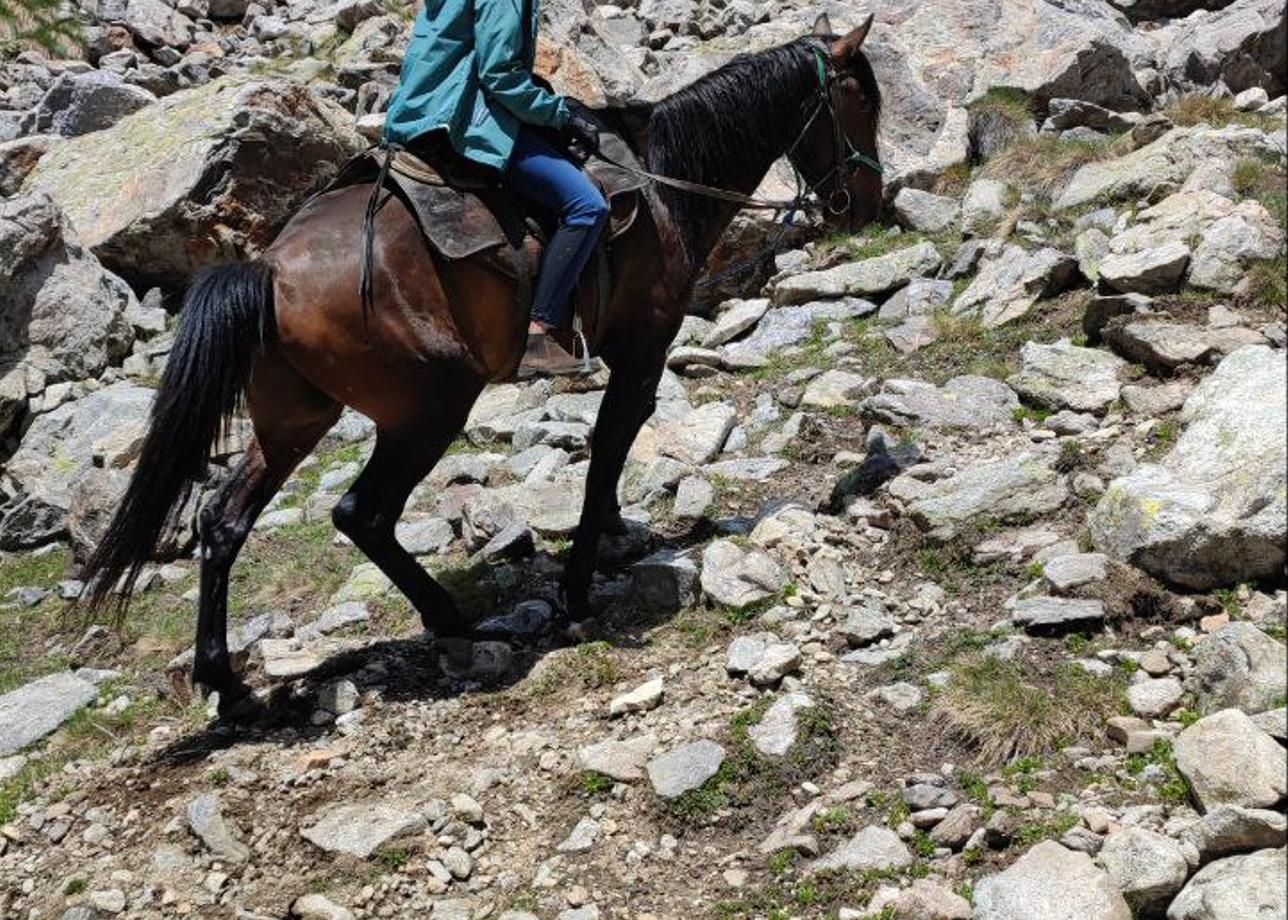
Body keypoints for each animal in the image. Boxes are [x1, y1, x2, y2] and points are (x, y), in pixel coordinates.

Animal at [83, 14, 886, 716]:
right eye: (865, 101)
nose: (863, 206)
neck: (664, 183)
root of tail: (268, 271)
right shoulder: (641, 351)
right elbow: (606, 451)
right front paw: (577, 593)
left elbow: (615, 452)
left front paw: (611, 541)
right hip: (430, 406)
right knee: (360, 512)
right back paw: (455, 620)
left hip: (294, 420)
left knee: (223, 521)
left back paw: (229, 686)